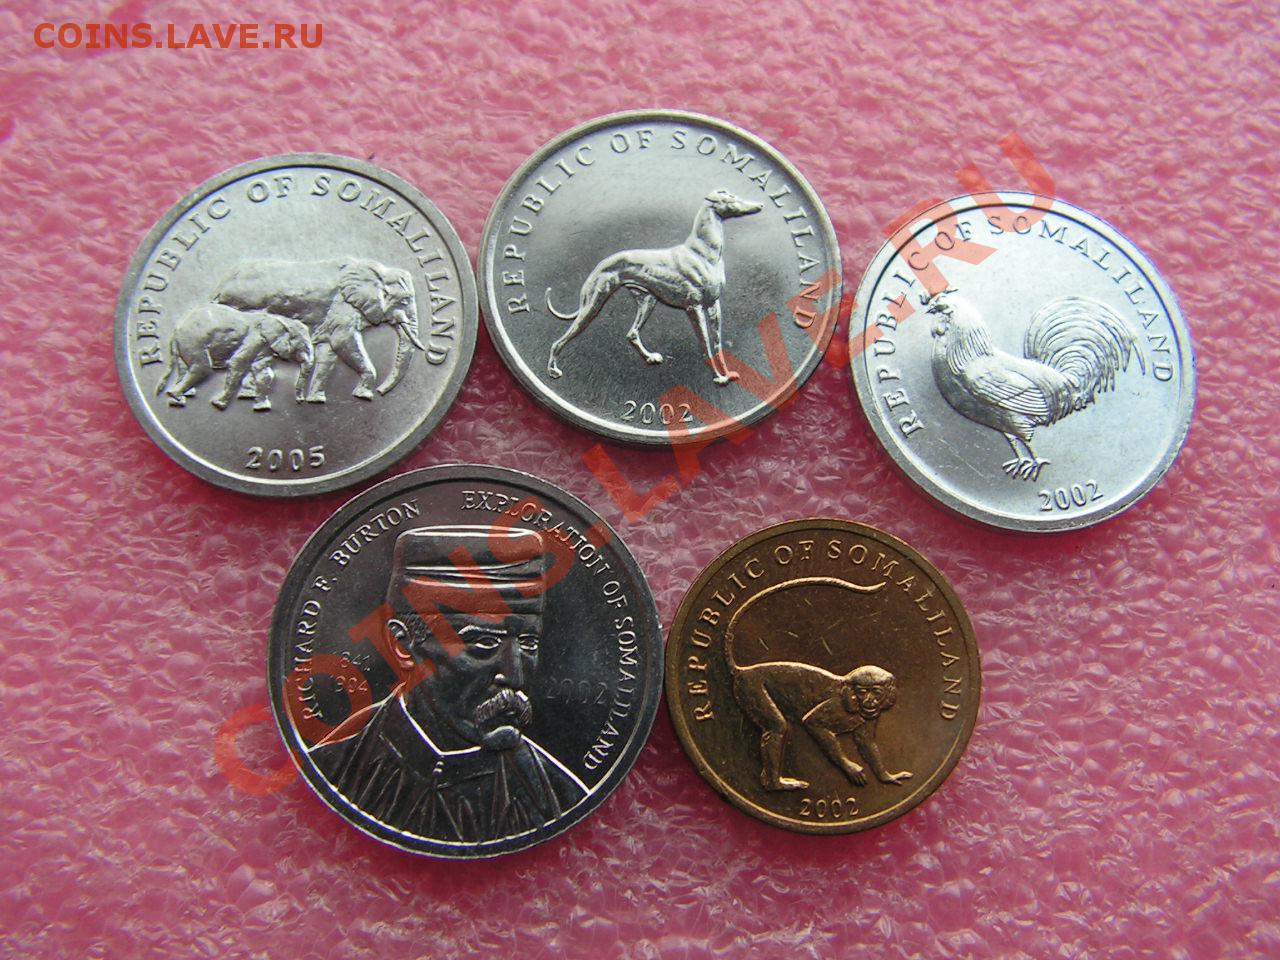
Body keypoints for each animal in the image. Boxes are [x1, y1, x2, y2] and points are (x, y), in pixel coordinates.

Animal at [545, 188, 763, 385]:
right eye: (732, 198)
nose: (760, 205)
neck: (704, 252)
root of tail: (599, 266)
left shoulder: (713, 305)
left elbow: (717, 344)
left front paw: (726, 374)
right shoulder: (694, 307)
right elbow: (706, 345)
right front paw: (718, 377)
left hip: (647, 301)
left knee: (632, 333)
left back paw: (650, 357)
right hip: (593, 305)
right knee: (558, 341)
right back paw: (553, 371)